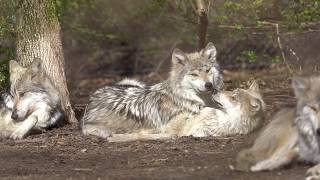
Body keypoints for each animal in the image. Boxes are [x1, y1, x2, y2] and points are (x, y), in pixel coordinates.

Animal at [81, 42, 266, 142]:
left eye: (207, 70)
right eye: (194, 74)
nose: (208, 85)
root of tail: (95, 95)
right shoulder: (173, 128)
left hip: (134, 83)